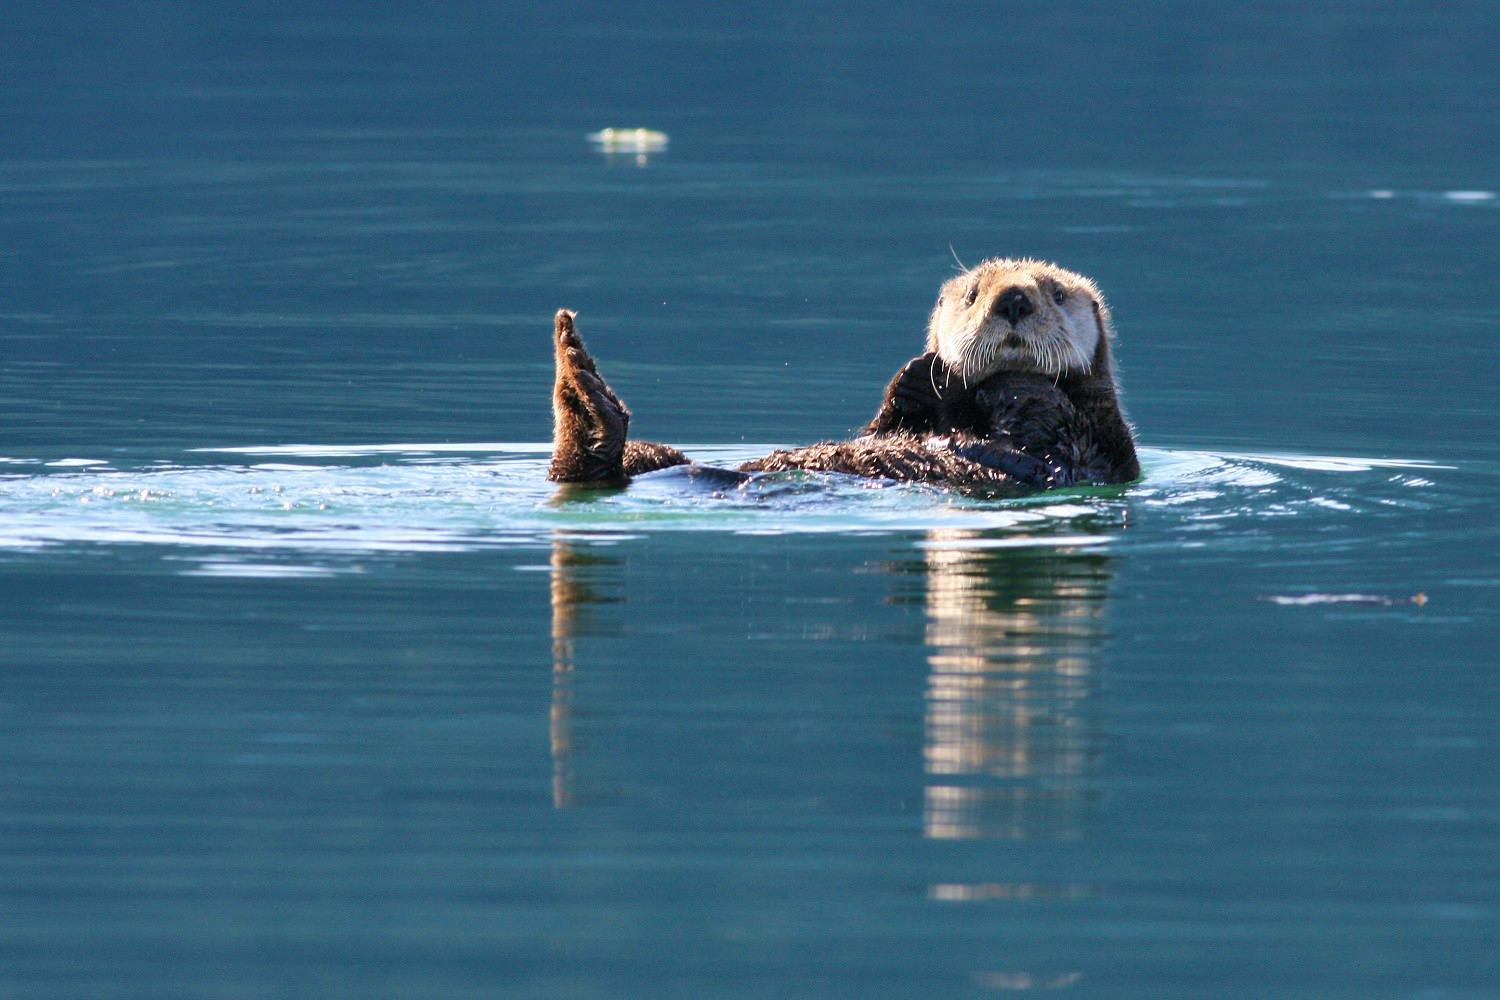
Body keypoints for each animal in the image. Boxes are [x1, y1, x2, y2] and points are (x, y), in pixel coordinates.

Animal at [547, 258, 1139, 492]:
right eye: (973, 295)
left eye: (1056, 294)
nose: (1013, 299)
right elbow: (886, 425)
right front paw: (920, 375)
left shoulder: (1100, 449)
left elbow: (1055, 429)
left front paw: (1013, 384)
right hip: (656, 458)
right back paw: (576, 371)